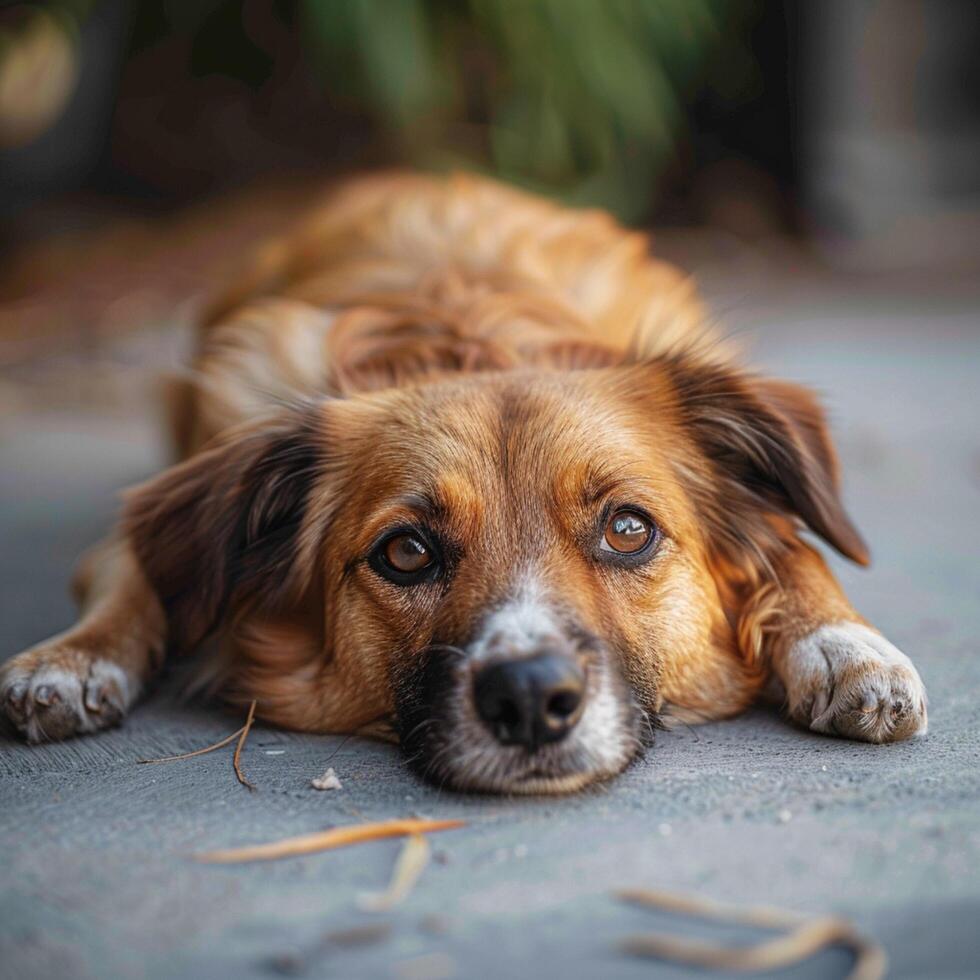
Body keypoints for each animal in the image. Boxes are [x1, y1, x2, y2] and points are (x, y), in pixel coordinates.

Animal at [0, 172, 928, 792]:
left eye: (628, 529)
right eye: (405, 552)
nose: (529, 699)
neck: (464, 338)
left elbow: (797, 545)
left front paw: (844, 645)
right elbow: (131, 572)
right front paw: (73, 658)